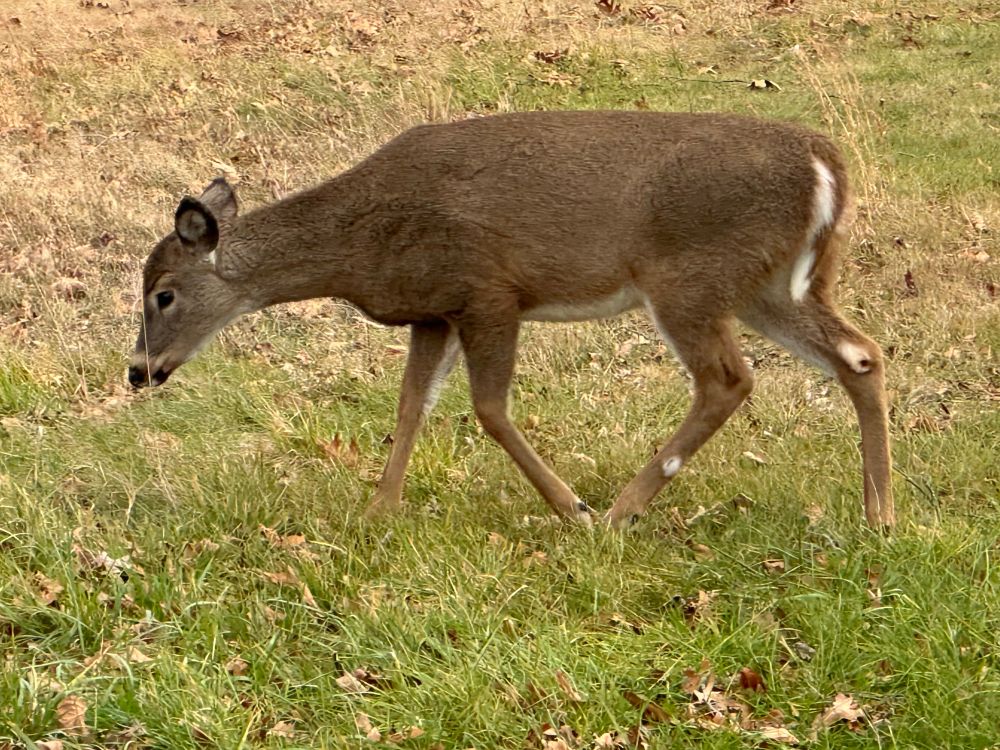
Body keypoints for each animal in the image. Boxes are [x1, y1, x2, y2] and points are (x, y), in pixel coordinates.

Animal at [128, 111, 894, 530]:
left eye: (162, 293)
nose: (138, 370)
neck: (359, 246)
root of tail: (827, 165)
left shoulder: (488, 291)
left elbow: (489, 409)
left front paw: (570, 508)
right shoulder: (434, 308)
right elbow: (411, 406)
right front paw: (378, 513)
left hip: (689, 277)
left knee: (728, 381)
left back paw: (619, 511)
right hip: (773, 285)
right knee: (860, 353)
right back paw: (880, 515)